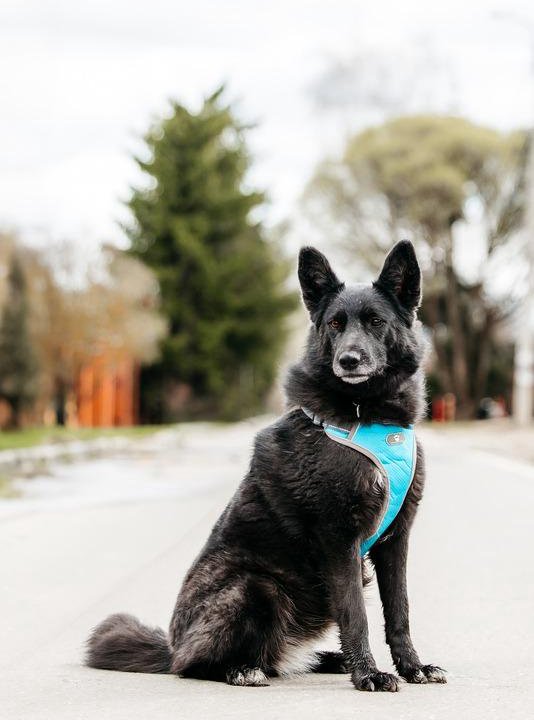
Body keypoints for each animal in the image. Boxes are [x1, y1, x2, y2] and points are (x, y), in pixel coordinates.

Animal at [89, 240, 448, 692]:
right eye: (335, 324)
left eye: (376, 321)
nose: (349, 360)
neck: (366, 414)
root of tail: (171, 646)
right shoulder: (338, 540)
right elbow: (356, 615)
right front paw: (368, 673)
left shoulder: (394, 540)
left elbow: (399, 610)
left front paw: (412, 666)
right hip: (256, 586)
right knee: (197, 664)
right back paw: (242, 670)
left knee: (276, 659)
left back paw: (325, 660)